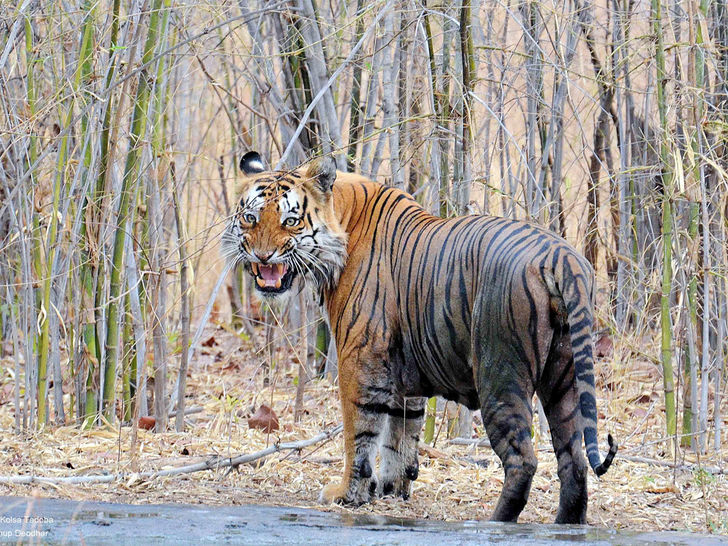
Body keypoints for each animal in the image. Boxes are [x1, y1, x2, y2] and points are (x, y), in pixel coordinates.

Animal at [220, 151, 616, 520]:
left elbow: (358, 434)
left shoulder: (359, 358)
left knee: (524, 460)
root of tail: (562, 257)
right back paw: (566, 524)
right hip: (564, 377)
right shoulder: (401, 370)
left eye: (290, 220)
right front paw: (392, 489)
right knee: (574, 461)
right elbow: (400, 433)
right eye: (251, 217)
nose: (263, 256)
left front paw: (347, 494)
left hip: (501, 373)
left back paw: (496, 522)